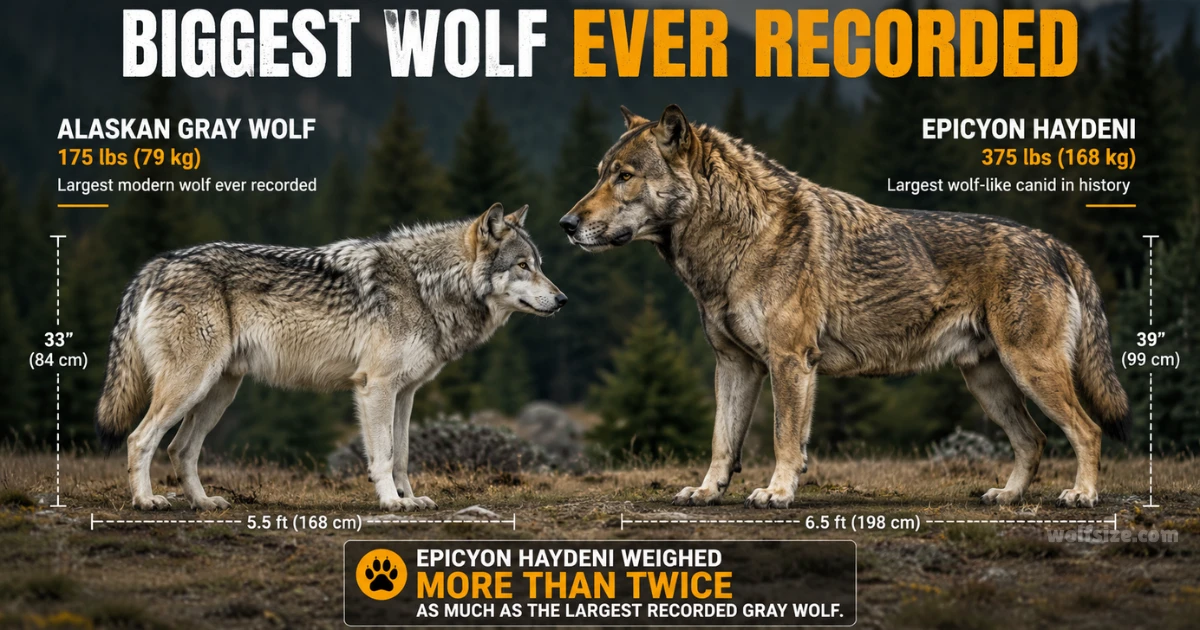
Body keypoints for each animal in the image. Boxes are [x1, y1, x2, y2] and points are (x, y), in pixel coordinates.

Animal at [96, 203, 565, 511]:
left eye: (540, 264)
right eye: (523, 266)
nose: (562, 300)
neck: (426, 286)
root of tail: (159, 263)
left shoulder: (406, 393)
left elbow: (404, 454)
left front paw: (412, 498)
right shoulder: (376, 388)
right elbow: (384, 455)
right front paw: (391, 503)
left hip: (218, 393)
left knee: (181, 449)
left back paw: (203, 502)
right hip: (191, 385)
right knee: (141, 438)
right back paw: (146, 500)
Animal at [560, 105, 1129, 509]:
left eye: (625, 176)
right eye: (600, 173)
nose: (566, 224)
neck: (735, 242)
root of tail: (1053, 244)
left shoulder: (790, 361)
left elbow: (785, 438)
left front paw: (776, 493)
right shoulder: (733, 365)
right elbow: (722, 442)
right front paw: (706, 492)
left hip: (1031, 371)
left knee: (1086, 431)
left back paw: (1082, 495)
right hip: (989, 383)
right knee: (1033, 441)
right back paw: (1007, 496)